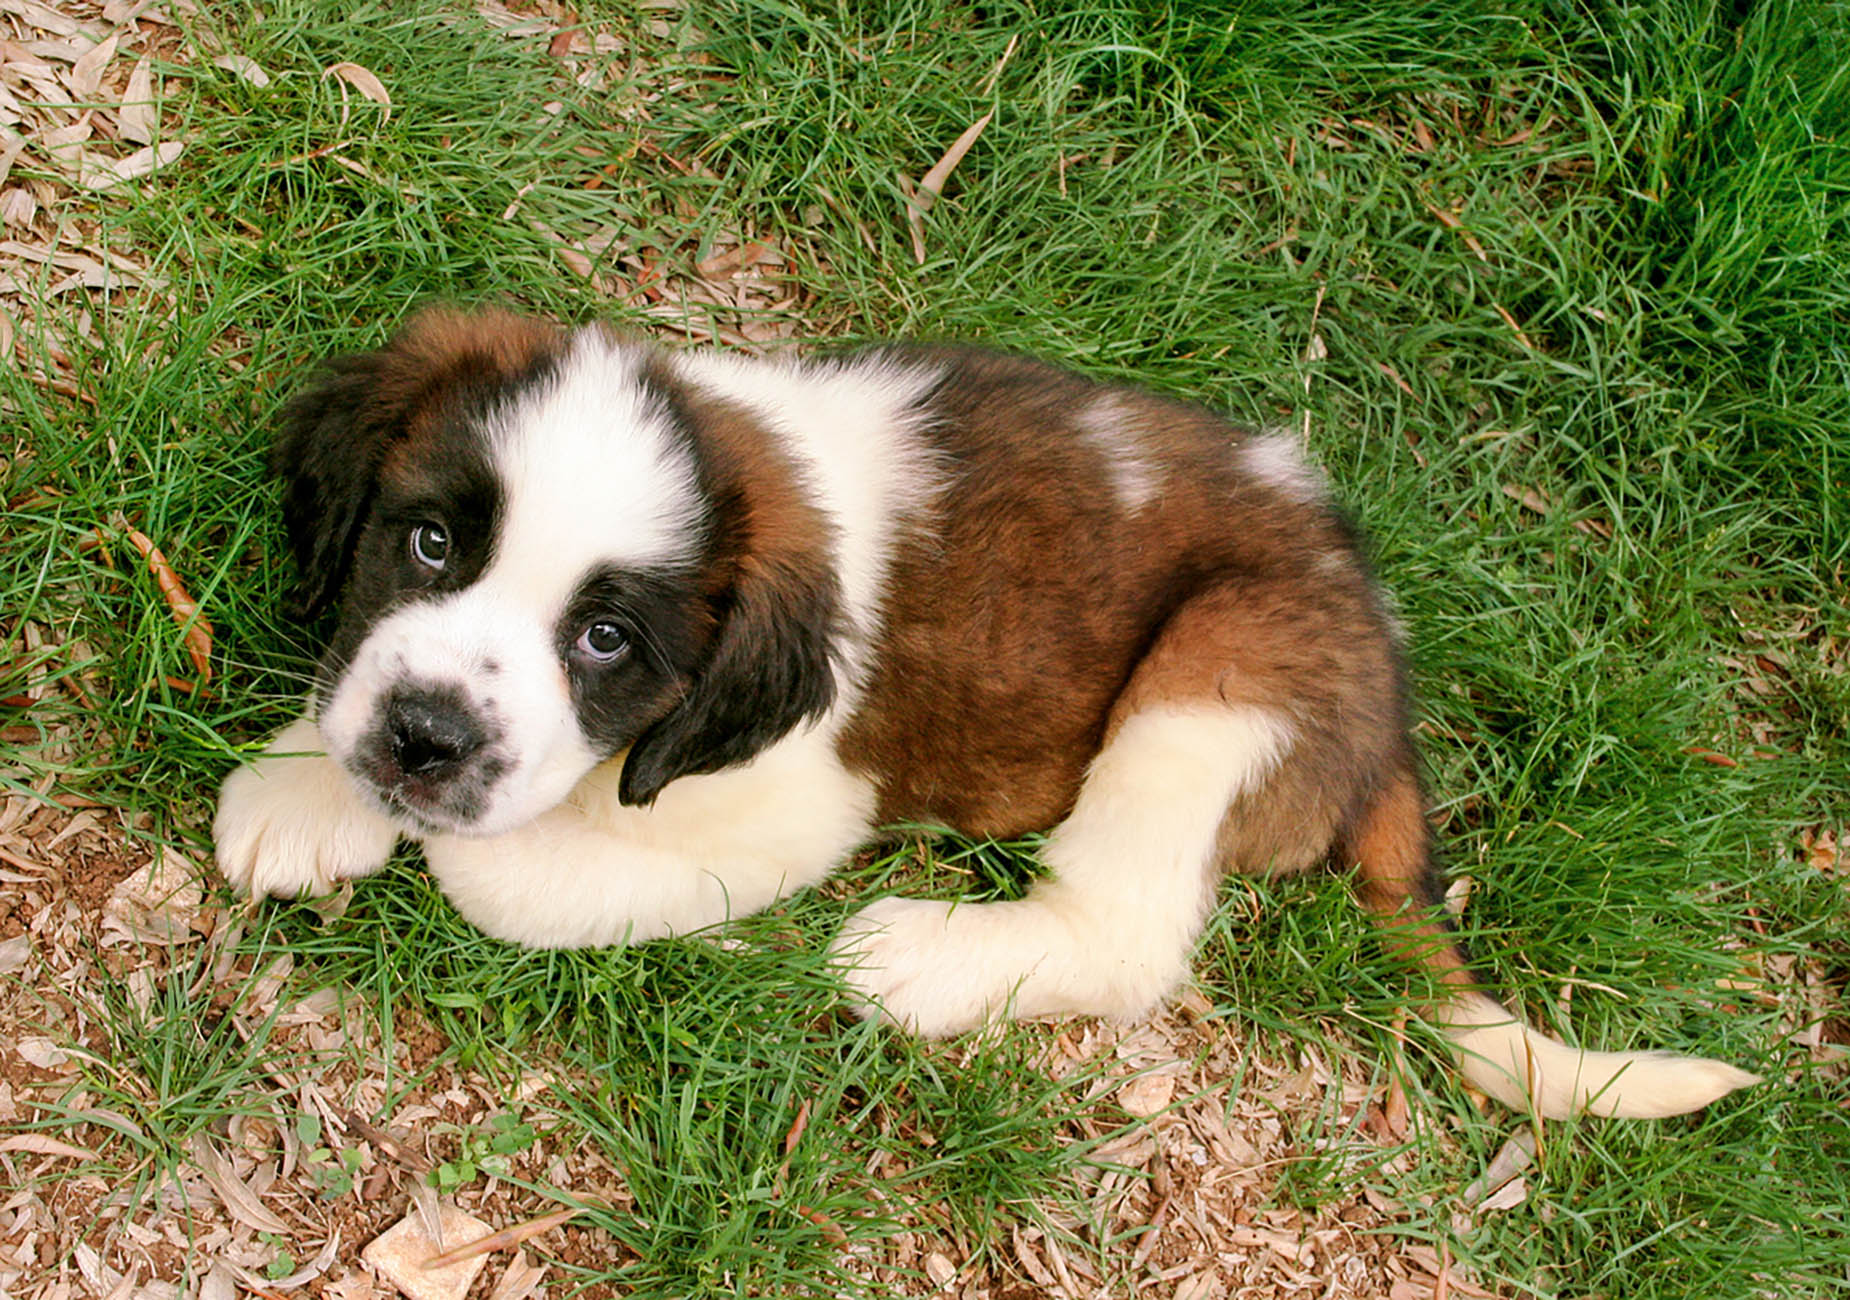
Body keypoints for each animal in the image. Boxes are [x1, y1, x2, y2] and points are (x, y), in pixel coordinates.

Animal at [209, 306, 1753, 1116]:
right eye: (427, 544)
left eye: (603, 640)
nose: (426, 740)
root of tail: (1383, 680)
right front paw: (311, 787)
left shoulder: (791, 809)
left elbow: (512, 881)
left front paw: (453, 837)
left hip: (1220, 670)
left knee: (1127, 932)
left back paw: (922, 958)